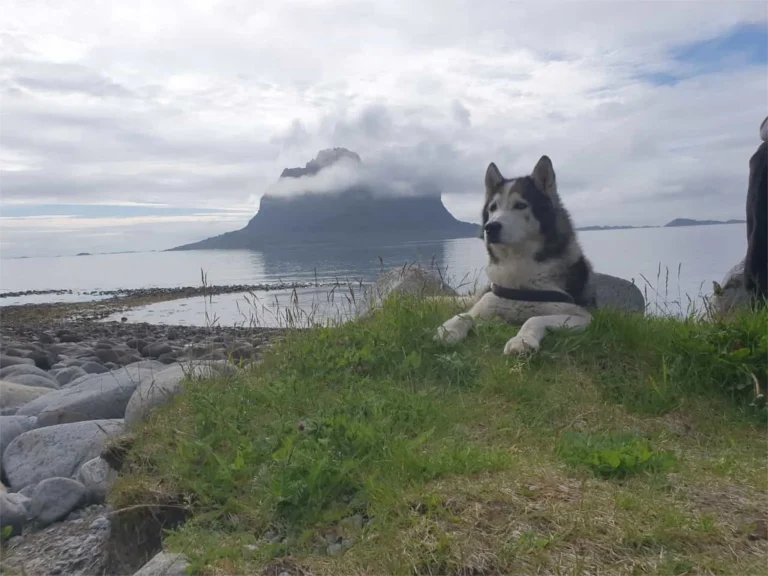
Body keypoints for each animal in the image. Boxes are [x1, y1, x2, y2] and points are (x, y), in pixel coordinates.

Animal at [436, 155, 596, 354]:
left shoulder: (580, 316)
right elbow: (463, 315)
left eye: (520, 205)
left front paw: (522, 341)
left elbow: (534, 319)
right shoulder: (486, 304)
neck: (517, 263)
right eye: (493, 208)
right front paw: (448, 329)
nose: (490, 227)